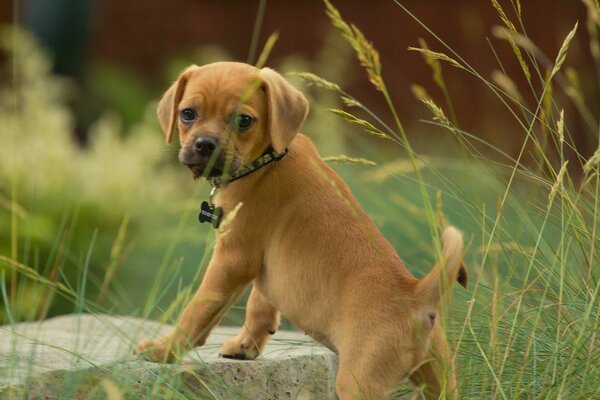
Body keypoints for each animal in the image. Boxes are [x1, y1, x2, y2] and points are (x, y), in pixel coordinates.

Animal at [134, 61, 466, 400]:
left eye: (243, 120)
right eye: (187, 114)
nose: (204, 145)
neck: (269, 158)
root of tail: (416, 297)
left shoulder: (231, 259)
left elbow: (199, 309)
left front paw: (164, 350)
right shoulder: (264, 268)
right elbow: (259, 308)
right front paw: (245, 347)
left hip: (359, 383)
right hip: (439, 381)